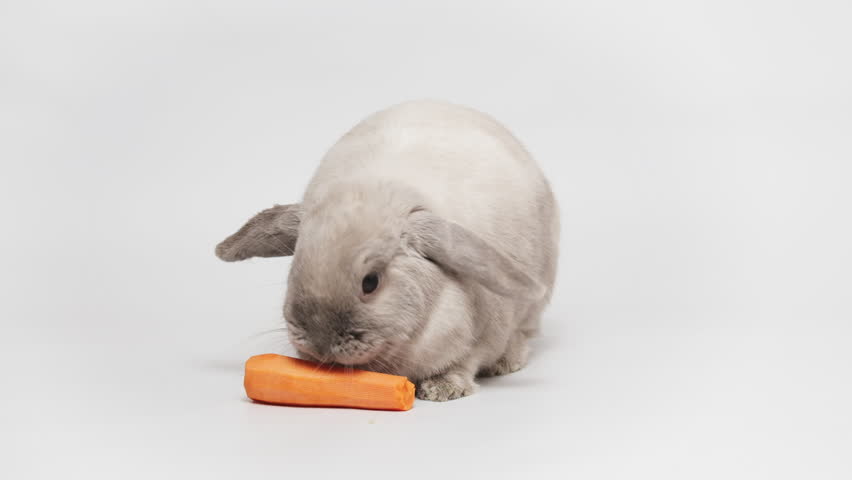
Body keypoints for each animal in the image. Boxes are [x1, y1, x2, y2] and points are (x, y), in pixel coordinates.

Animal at [215, 100, 559, 401]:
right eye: (294, 269)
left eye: (371, 282)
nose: (320, 342)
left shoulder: (477, 342)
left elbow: (463, 364)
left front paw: (442, 390)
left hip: (533, 304)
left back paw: (507, 362)